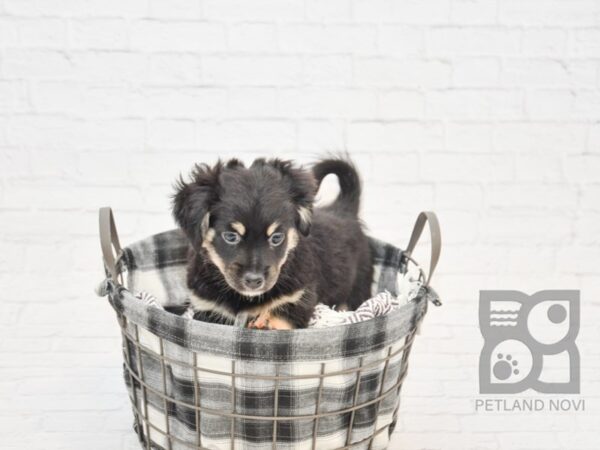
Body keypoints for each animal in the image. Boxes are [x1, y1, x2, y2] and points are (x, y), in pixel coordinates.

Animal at [171, 158, 372, 330]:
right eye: (230, 236)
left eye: (276, 237)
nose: (254, 280)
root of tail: (344, 209)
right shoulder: (208, 309)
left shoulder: (299, 298)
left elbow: (280, 319)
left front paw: (267, 325)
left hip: (357, 288)